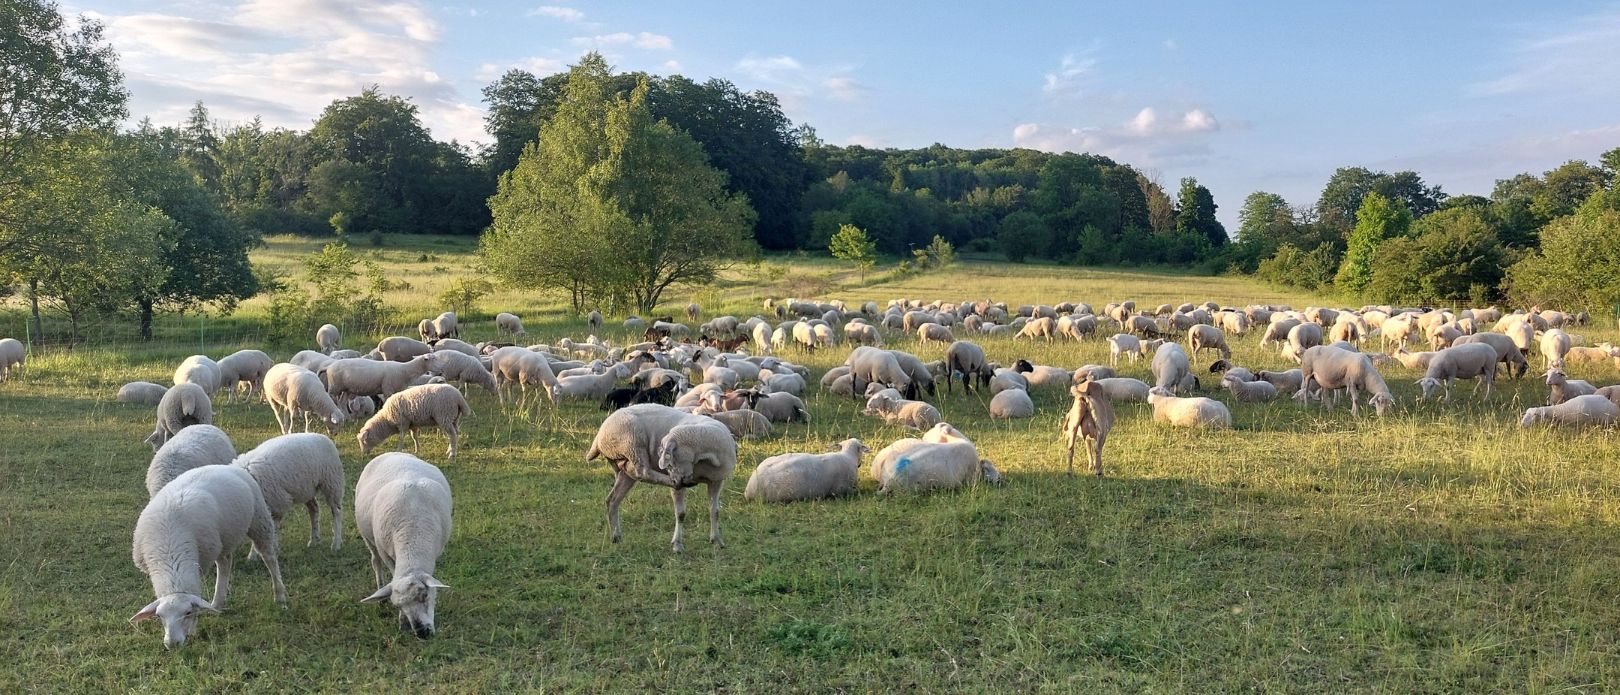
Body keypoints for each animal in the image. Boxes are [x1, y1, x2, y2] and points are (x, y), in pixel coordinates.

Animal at [130, 465, 287, 649]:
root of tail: (227, 466)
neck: (170, 552)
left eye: (188, 612)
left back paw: (279, 595)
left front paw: (192, 629)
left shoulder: (201, 563)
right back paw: (217, 603)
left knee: (269, 557)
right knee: (225, 563)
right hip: (224, 538)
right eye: (159, 616)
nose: (172, 644)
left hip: (259, 519)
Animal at [354, 453, 453, 639]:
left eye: (424, 595)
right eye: (398, 606)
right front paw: (402, 621)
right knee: (375, 562)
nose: (422, 633)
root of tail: (391, 453)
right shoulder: (386, 553)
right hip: (367, 538)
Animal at [588, 405, 736, 552]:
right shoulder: (680, 481)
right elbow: (680, 513)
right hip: (633, 442)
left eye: (671, 461)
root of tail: (599, 436)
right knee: (643, 471)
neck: (705, 458)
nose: (675, 481)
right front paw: (677, 545)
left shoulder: (717, 481)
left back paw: (616, 536)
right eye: (668, 464)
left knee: (613, 499)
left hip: (625, 463)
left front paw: (717, 541)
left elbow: (715, 511)